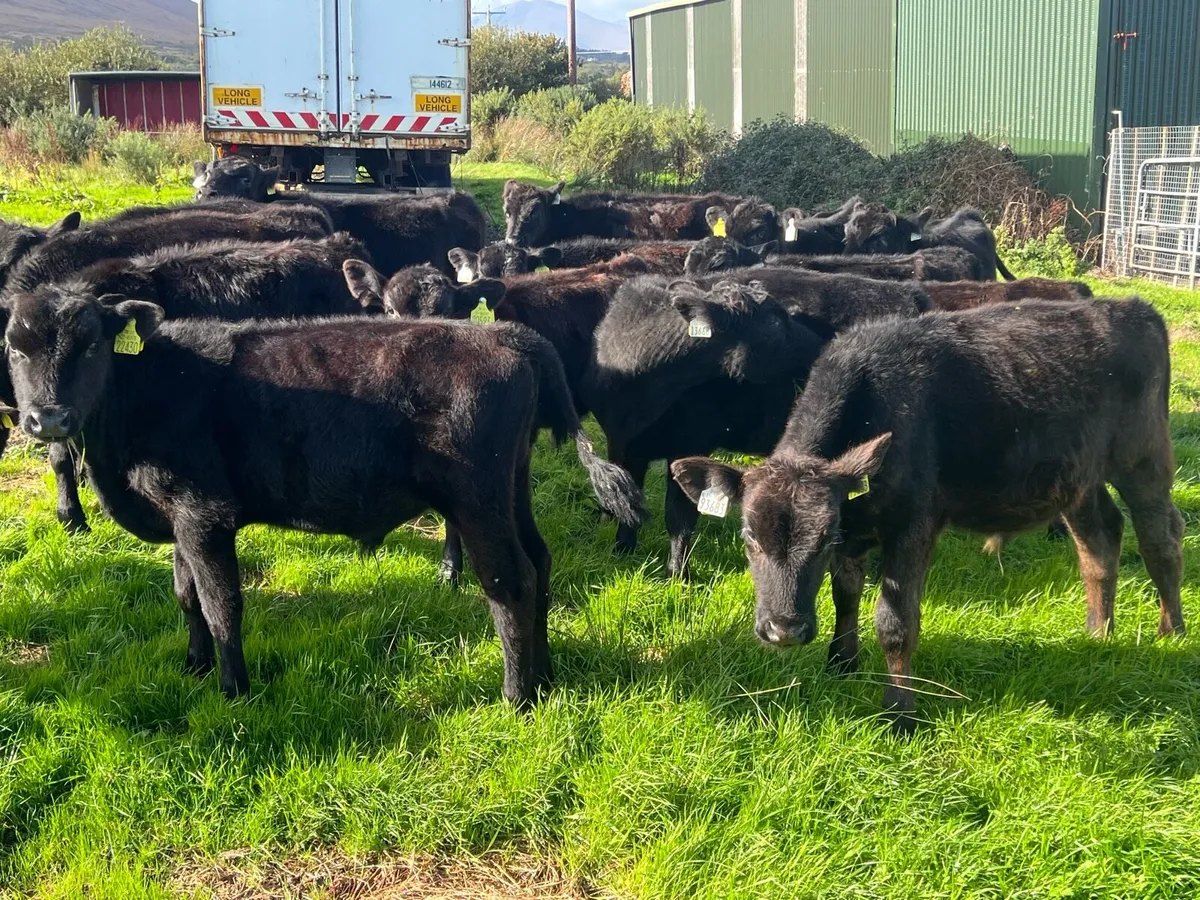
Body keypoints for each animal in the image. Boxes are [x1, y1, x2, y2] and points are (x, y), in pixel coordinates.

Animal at [5, 284, 644, 706]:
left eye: (92, 344)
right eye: (13, 347)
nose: (48, 418)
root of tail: (502, 333)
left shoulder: (204, 514)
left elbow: (220, 604)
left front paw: (233, 691)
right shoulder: (179, 517)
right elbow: (187, 597)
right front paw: (194, 667)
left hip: (477, 499)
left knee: (510, 582)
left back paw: (516, 696)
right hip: (511, 489)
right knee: (541, 562)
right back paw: (546, 676)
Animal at [671, 298, 1183, 733]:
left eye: (822, 541)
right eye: (748, 538)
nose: (785, 631)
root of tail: (1133, 307)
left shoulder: (913, 523)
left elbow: (895, 622)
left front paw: (899, 712)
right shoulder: (856, 527)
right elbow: (845, 594)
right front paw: (841, 663)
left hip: (1145, 459)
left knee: (1161, 540)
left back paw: (1170, 632)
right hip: (1077, 477)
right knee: (1099, 539)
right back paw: (1098, 632)